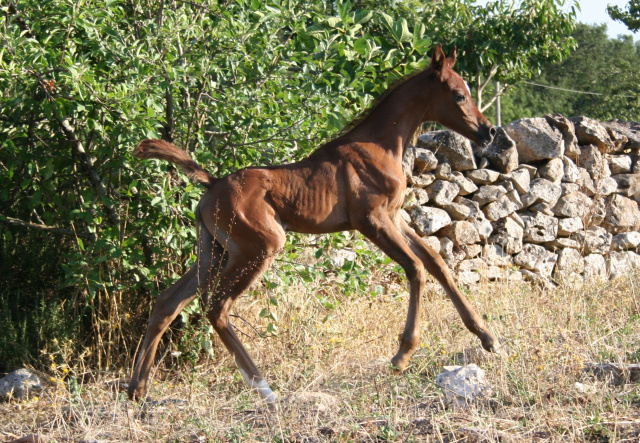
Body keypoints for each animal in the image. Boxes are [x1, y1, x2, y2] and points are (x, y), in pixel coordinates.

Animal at [129, 46, 500, 406]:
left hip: (215, 250)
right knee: (217, 306)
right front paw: (402, 355)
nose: (489, 131)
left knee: (168, 302)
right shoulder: (371, 220)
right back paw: (264, 389)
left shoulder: (395, 217)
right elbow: (416, 268)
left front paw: (487, 337)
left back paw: (137, 389)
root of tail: (212, 183)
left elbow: (437, 263)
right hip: (260, 247)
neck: (380, 146)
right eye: (458, 95)